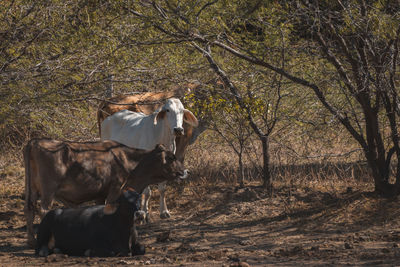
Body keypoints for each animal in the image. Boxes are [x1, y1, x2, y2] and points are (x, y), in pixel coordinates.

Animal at [24, 139, 187, 248]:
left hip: (31, 190)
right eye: (171, 158)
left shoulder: (100, 195)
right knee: (43, 211)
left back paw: (31, 241)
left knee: (29, 210)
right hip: (48, 191)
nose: (185, 171)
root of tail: (35, 142)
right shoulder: (115, 190)